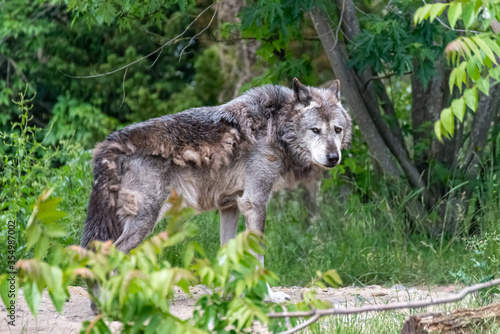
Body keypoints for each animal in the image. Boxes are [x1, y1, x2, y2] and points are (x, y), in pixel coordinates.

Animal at [81, 78, 352, 306]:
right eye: (315, 130)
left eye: (337, 130)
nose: (333, 157)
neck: (275, 125)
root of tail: (110, 143)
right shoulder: (255, 203)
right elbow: (258, 257)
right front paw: (268, 296)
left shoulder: (229, 206)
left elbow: (226, 254)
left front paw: (230, 297)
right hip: (144, 221)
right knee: (105, 259)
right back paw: (107, 305)